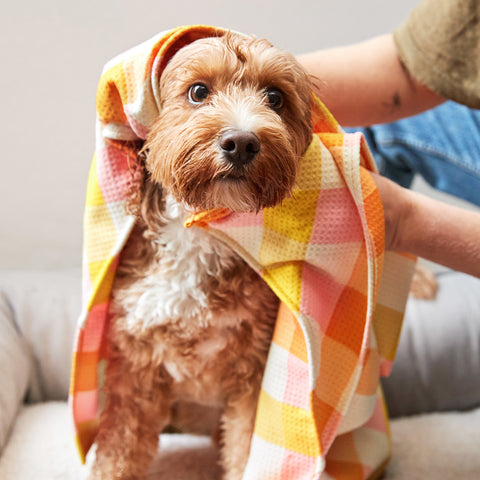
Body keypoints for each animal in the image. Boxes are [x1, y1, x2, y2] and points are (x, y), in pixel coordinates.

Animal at [89, 31, 316, 480]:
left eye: (275, 97)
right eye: (198, 91)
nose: (241, 142)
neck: (196, 235)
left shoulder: (251, 372)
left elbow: (246, 450)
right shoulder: (135, 371)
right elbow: (118, 452)